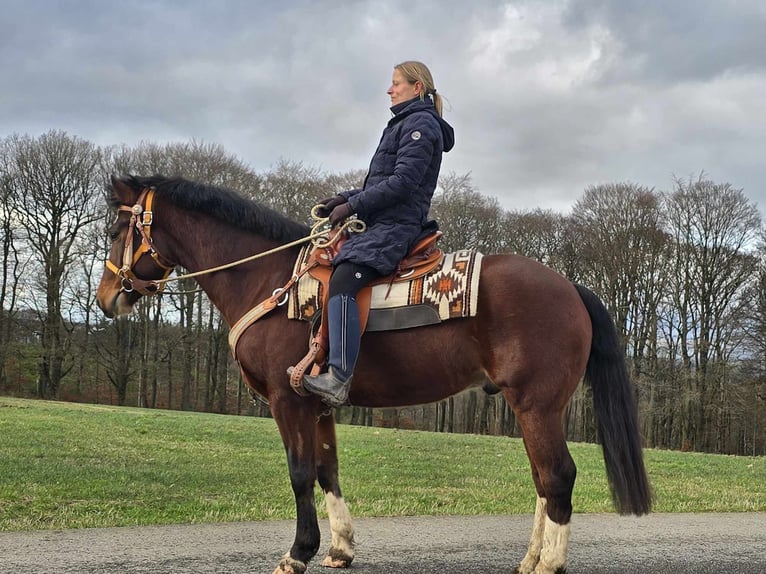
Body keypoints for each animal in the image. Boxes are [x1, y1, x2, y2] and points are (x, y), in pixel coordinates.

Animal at [93, 176, 652, 574]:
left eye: (115, 231)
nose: (106, 298)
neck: (269, 281)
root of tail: (570, 286)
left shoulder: (288, 401)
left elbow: (300, 473)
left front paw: (298, 552)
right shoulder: (317, 403)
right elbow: (327, 471)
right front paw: (339, 548)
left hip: (537, 405)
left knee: (557, 477)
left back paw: (549, 563)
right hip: (532, 409)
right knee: (543, 480)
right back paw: (531, 559)